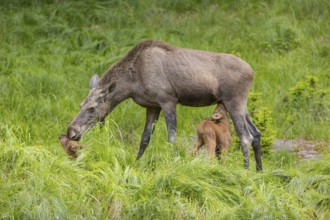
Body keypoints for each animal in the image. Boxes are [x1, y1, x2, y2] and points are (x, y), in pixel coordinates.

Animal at [66, 39, 262, 171]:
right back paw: (258, 171)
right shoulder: (152, 106)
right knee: (256, 133)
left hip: (234, 102)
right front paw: (136, 164)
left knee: (245, 137)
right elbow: (144, 139)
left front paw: (172, 166)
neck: (131, 84)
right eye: (81, 104)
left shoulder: (168, 101)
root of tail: (253, 72)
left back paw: (245, 170)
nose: (71, 131)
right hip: (241, 105)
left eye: (92, 108)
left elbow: (171, 138)